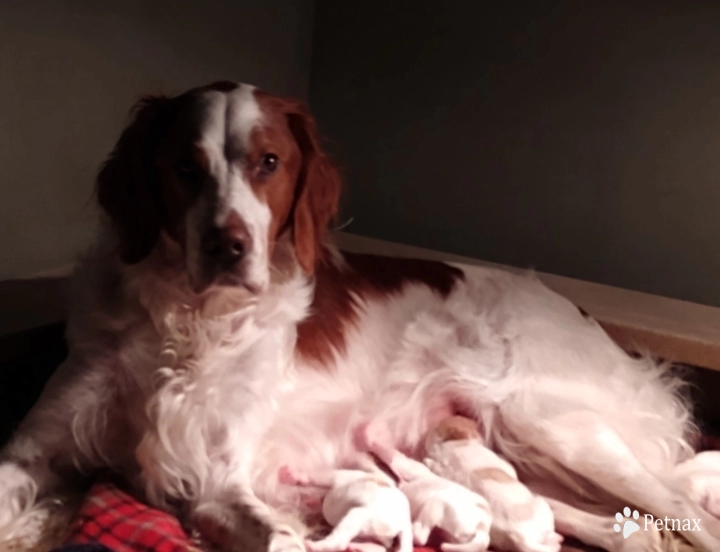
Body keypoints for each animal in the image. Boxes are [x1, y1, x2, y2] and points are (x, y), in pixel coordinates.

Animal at [278, 452, 410, 552]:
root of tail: (404, 524)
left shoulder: (335, 476)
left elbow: (315, 477)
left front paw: (291, 475)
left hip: (357, 516)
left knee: (340, 542)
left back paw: (314, 546)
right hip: (371, 532)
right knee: (380, 547)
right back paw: (359, 547)